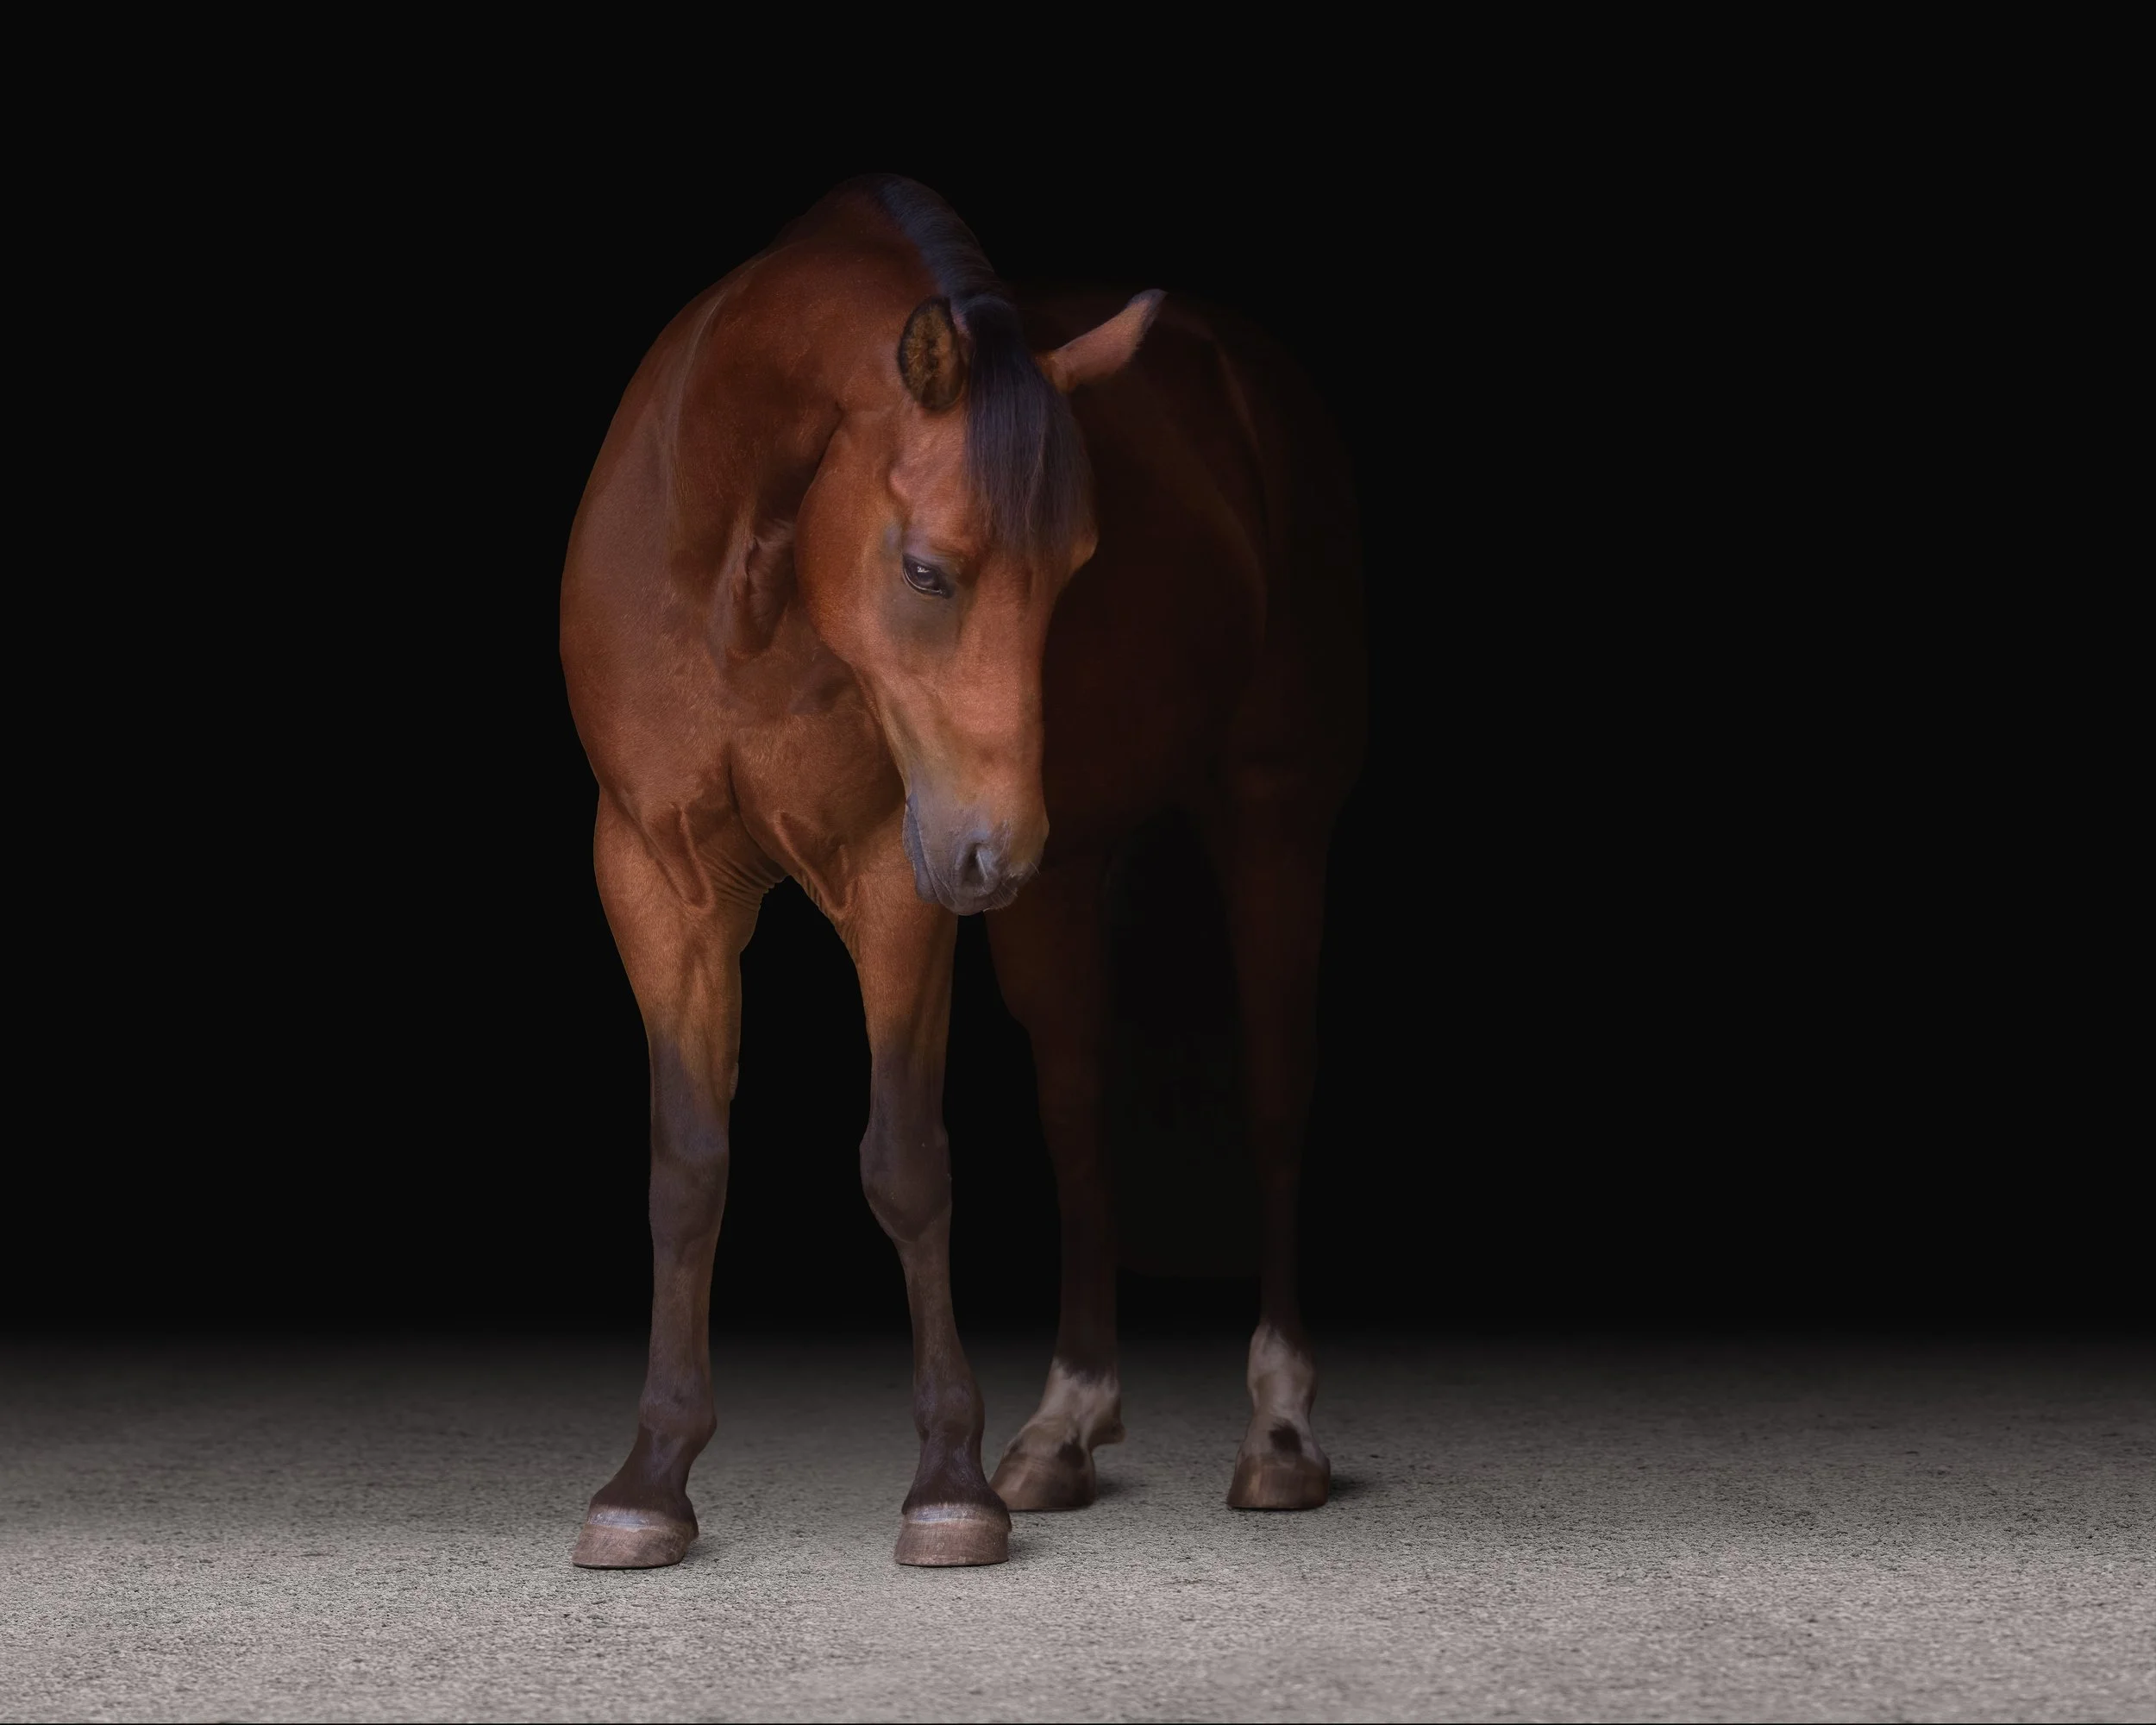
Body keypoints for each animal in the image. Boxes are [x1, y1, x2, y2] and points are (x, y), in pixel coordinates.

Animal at [559, 175, 1364, 1568]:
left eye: (1080, 568)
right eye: (926, 568)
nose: (999, 851)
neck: (729, 579)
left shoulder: (894, 880)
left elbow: (906, 1164)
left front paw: (948, 1482)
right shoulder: (659, 883)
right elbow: (688, 1168)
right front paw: (650, 1479)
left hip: (1266, 816)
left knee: (1273, 1099)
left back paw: (1277, 1433)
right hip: (1062, 878)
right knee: (1078, 1109)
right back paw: (1062, 1430)